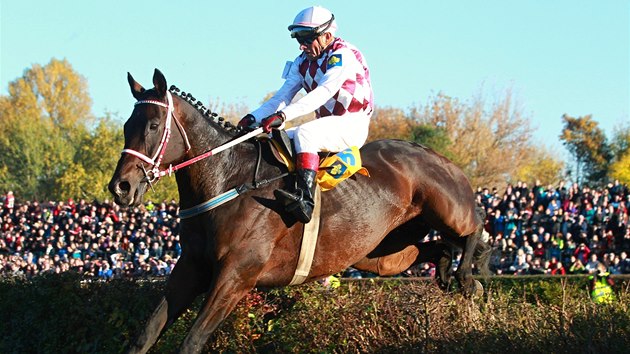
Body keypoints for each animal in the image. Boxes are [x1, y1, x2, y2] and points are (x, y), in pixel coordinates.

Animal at [108, 68, 494, 352]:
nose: (120, 187)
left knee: (475, 229)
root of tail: (436, 154)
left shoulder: (236, 275)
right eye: (127, 126)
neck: (228, 181)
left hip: (445, 207)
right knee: (436, 248)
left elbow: (192, 341)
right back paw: (449, 273)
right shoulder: (191, 268)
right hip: (382, 253)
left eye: (153, 125)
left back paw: (469, 276)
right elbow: (145, 335)